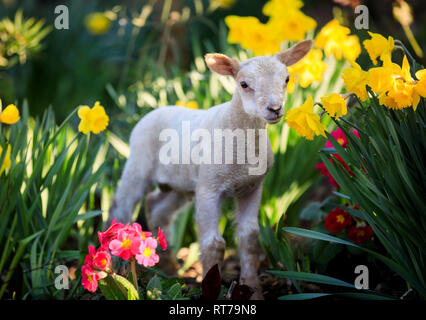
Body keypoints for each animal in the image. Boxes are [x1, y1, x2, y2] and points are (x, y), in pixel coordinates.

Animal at [107, 39, 312, 298]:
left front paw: (253, 289)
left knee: (158, 207)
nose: (274, 109)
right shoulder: (208, 188)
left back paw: (168, 270)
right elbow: (214, 243)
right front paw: (209, 287)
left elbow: (249, 238)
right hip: (139, 162)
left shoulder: (252, 187)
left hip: (180, 183)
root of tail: (155, 110)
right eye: (244, 84)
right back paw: (115, 267)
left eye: (286, 78)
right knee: (121, 205)